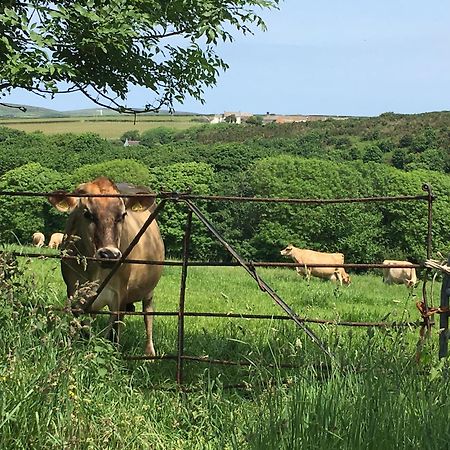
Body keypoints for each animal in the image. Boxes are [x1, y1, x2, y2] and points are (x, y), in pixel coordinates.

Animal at [48, 176, 164, 356]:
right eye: (87, 213)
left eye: (122, 215)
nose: (109, 254)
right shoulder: (74, 292)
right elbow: (83, 329)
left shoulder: (120, 295)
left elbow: (114, 334)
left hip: (149, 290)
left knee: (148, 315)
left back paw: (149, 352)